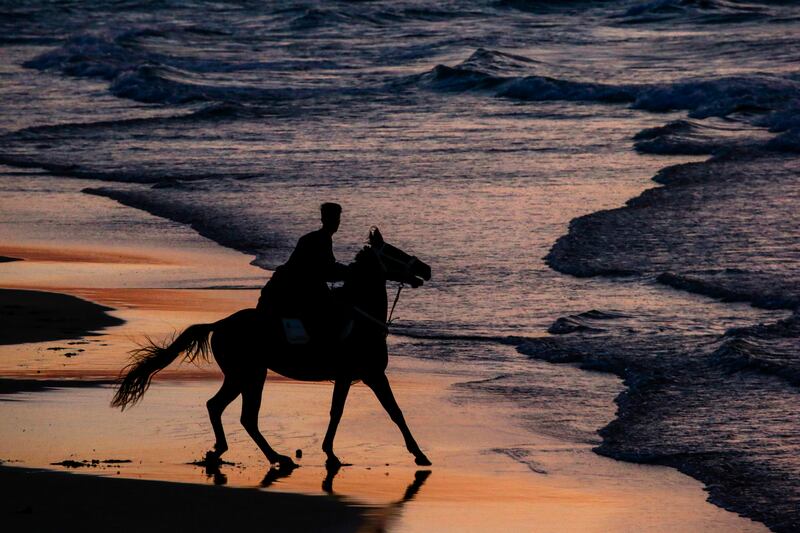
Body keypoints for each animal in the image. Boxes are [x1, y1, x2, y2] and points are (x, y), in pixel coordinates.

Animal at [111, 227, 432, 468]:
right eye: (394, 252)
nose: (426, 269)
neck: (361, 317)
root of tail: (220, 323)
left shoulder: (351, 377)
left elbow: (339, 411)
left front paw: (330, 453)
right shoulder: (371, 374)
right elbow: (392, 412)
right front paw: (419, 454)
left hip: (244, 374)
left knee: (224, 409)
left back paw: (230, 451)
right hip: (248, 374)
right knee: (239, 414)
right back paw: (274, 456)